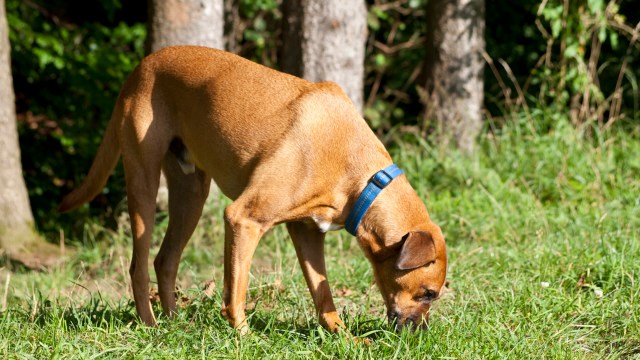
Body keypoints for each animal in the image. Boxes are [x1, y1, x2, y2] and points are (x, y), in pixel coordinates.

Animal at [61, 46, 450, 334]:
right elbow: (237, 289)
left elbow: (322, 293)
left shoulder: (307, 232)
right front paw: (244, 336)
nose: (421, 333)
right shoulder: (243, 220)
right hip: (143, 184)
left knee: (165, 259)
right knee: (138, 266)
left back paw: (173, 323)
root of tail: (141, 66)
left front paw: (343, 337)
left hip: (190, 194)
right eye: (428, 293)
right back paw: (151, 324)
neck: (361, 174)